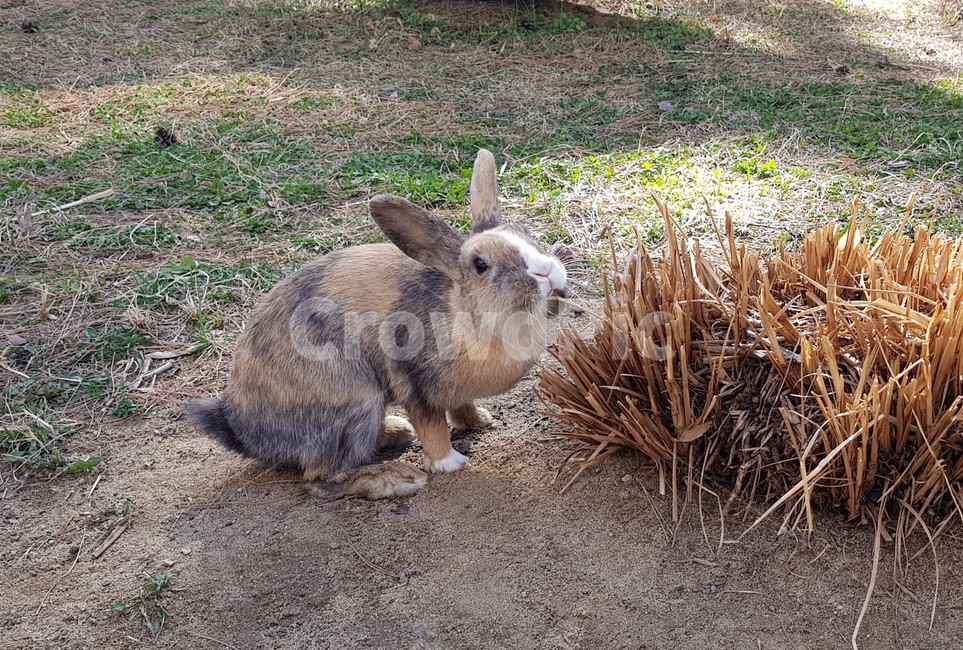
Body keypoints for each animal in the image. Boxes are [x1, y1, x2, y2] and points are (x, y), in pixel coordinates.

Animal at [184, 149, 568, 499]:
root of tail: (241, 428)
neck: (467, 315)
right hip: (355, 398)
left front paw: (481, 420)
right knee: (321, 476)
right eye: (480, 265)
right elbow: (432, 428)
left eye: (525, 232)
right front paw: (448, 463)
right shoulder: (417, 387)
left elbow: (462, 407)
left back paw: (397, 432)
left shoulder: (456, 391)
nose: (547, 271)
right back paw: (398, 478)